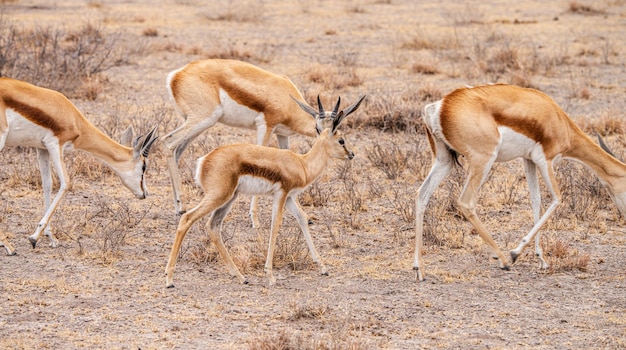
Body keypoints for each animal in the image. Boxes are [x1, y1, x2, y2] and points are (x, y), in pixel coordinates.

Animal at [1, 77, 157, 250]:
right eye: (144, 166)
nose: (145, 193)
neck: (75, 120)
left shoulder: (42, 148)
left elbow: (47, 184)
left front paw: (50, 237)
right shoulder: (55, 144)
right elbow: (66, 182)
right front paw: (34, 237)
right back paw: (8, 246)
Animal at [161, 58, 326, 227]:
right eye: (318, 128)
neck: (287, 97)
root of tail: (176, 75)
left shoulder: (281, 134)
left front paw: (306, 217)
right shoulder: (265, 126)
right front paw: (255, 219)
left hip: (197, 125)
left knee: (176, 152)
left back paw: (178, 207)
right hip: (203, 120)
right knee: (168, 142)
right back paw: (182, 206)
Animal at [166, 94, 364, 286]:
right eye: (341, 140)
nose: (352, 154)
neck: (302, 164)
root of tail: (204, 160)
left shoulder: (290, 198)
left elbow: (303, 219)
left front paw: (322, 267)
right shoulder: (281, 195)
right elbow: (275, 226)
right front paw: (270, 276)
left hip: (230, 197)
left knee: (213, 226)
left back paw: (241, 277)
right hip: (219, 196)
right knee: (187, 218)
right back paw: (169, 279)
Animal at [412, 83, 620, 280]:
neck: (558, 119)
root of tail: (441, 106)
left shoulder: (528, 160)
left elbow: (536, 201)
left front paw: (541, 259)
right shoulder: (545, 160)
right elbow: (557, 199)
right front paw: (515, 253)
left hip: (444, 160)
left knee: (422, 195)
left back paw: (419, 269)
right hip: (483, 160)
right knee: (466, 202)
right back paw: (504, 260)